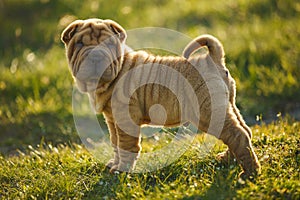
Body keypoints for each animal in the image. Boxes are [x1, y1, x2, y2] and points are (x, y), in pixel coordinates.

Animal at [61, 18, 260, 178]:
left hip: (208, 111)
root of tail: (211, 60)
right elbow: (115, 143)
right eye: (79, 44)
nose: (95, 55)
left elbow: (126, 145)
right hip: (228, 105)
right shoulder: (112, 120)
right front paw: (114, 164)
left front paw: (122, 169)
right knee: (243, 131)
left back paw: (250, 173)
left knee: (237, 135)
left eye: (109, 45)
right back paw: (228, 159)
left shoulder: (125, 119)